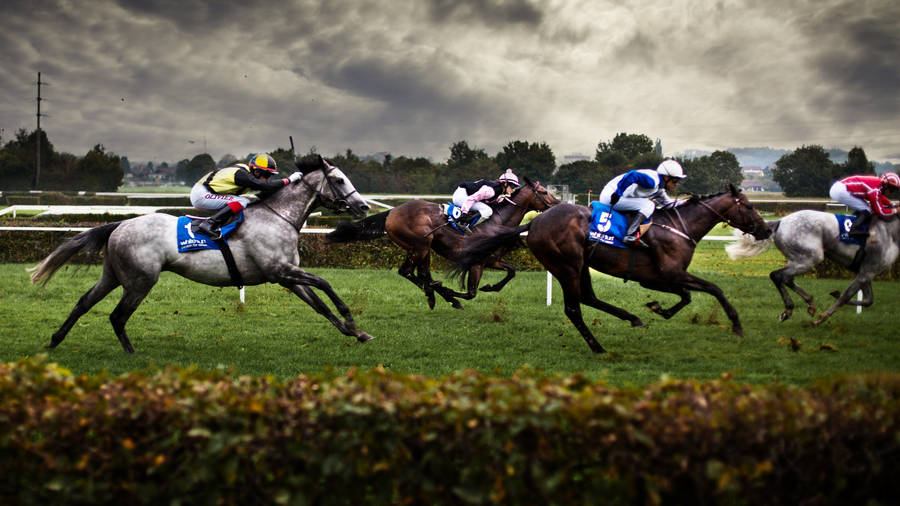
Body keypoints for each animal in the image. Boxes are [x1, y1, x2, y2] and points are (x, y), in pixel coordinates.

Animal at [28, 155, 372, 352]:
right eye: (339, 179)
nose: (363, 206)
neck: (278, 216)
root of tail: (120, 224)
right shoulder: (279, 271)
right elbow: (326, 283)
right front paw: (350, 318)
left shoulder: (286, 276)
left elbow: (320, 305)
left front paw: (355, 332)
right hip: (140, 281)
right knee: (117, 316)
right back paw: (131, 354)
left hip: (113, 275)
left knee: (84, 302)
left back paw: (55, 340)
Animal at [326, 178, 560, 308]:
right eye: (545, 192)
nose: (559, 204)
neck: (497, 222)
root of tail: (392, 211)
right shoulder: (475, 262)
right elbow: (471, 293)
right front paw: (452, 293)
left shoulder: (490, 260)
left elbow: (511, 271)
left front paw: (490, 287)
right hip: (420, 244)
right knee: (408, 272)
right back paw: (439, 294)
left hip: (423, 248)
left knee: (422, 274)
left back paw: (434, 295)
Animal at [458, 184, 772, 354]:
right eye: (748, 206)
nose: (767, 229)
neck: (678, 226)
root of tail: (534, 222)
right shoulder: (668, 274)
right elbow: (712, 289)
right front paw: (737, 325)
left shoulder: (659, 278)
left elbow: (686, 295)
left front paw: (659, 308)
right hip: (567, 264)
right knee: (574, 308)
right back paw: (597, 346)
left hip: (581, 264)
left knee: (588, 297)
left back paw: (632, 318)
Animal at [728, 209, 896, 324]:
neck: (889, 231)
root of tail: (781, 221)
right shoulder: (868, 270)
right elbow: (848, 296)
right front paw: (823, 316)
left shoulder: (865, 270)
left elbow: (868, 300)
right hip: (811, 257)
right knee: (778, 275)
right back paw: (790, 308)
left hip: (797, 258)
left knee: (786, 278)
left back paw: (808, 304)